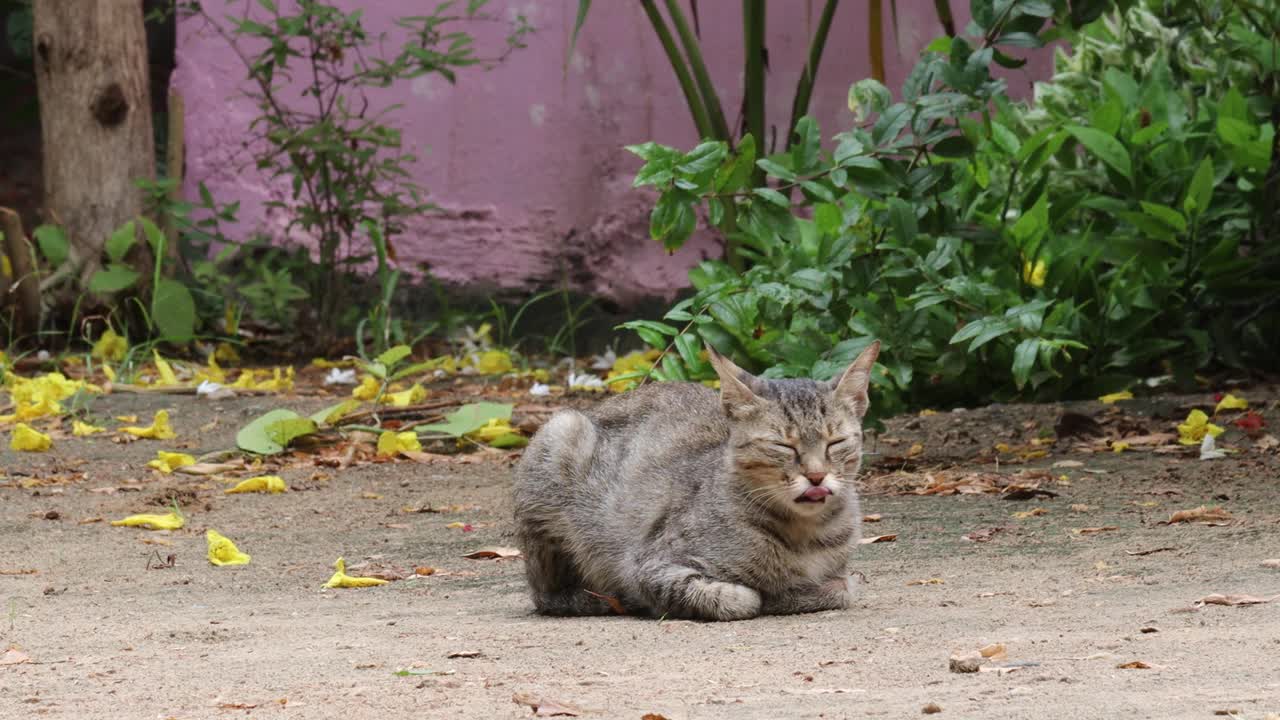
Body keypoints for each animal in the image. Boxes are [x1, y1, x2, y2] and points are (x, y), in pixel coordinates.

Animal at [509, 340, 880, 617]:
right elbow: (740, 598)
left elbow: (842, 587)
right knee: (549, 596)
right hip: (561, 434)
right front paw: (773, 595)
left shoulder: (840, 573)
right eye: (782, 445)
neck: (806, 534)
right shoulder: (647, 566)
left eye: (836, 442)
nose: (816, 476)